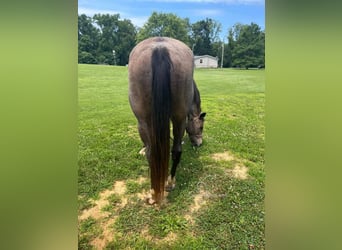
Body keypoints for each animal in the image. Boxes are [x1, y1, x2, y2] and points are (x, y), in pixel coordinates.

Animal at [128, 37, 206, 205]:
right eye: (201, 127)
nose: (199, 143)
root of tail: (160, 47)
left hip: (145, 120)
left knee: (155, 152)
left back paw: (157, 188)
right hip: (178, 119)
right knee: (175, 151)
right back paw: (168, 182)